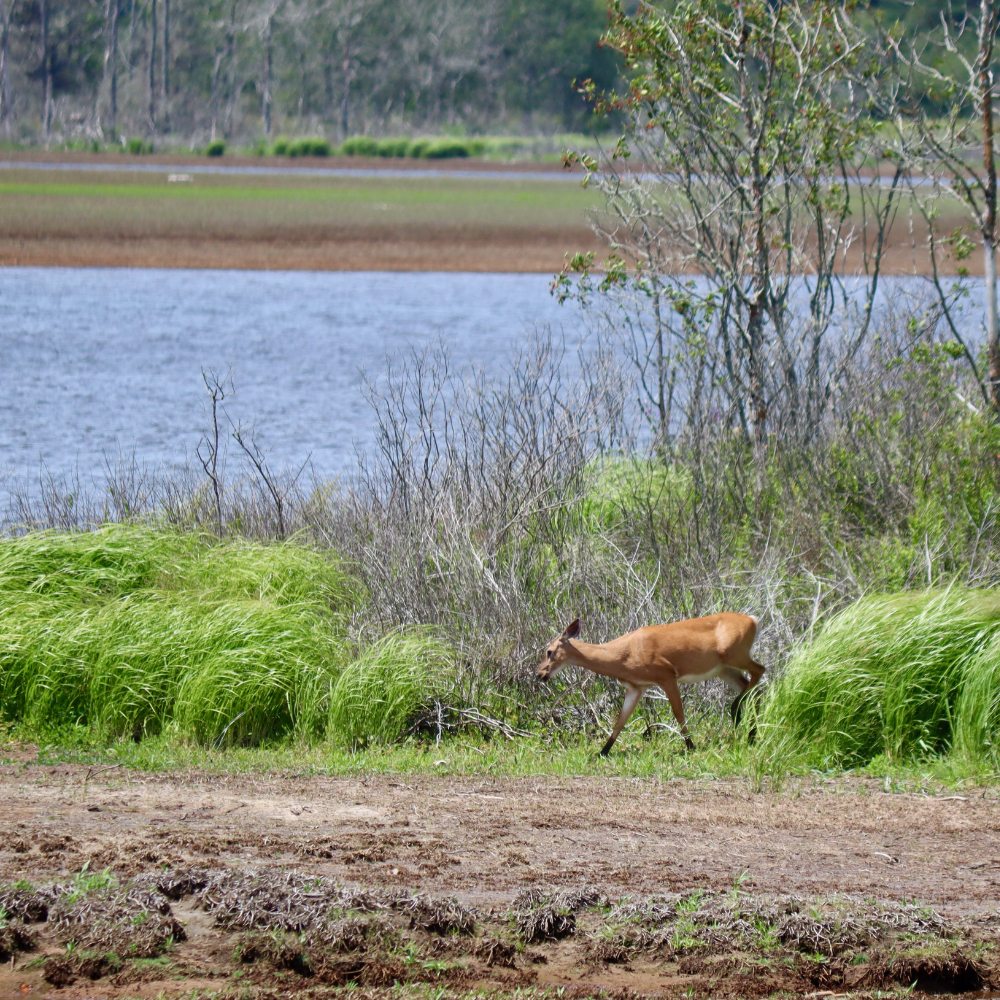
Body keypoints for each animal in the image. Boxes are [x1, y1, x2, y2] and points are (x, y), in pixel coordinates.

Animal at [540, 612, 764, 752]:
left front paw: (691, 746)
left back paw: (738, 714)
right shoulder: (636, 687)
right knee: (753, 687)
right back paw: (751, 734)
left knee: (760, 671)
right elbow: (620, 721)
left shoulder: (666, 675)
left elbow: (678, 713)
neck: (624, 654)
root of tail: (753, 620)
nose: (540, 674)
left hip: (735, 656)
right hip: (724, 669)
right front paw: (602, 752)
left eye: (549, 651)